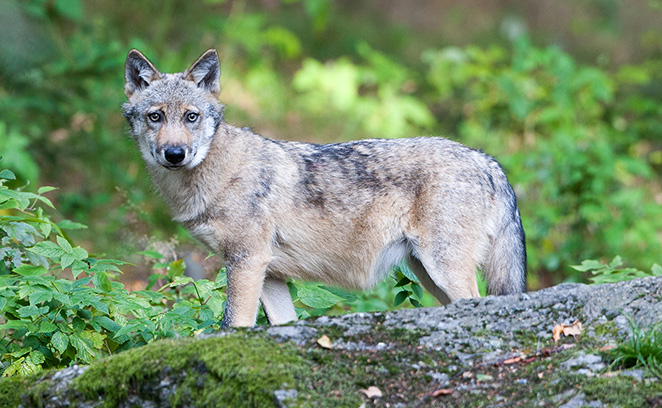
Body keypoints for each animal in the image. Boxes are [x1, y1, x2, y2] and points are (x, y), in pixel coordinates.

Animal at [122, 49, 527, 328]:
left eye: (191, 116)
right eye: (155, 116)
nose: (175, 154)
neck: (216, 175)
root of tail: (486, 160)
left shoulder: (247, 262)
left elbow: (233, 325)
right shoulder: (269, 274)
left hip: (444, 269)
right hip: (429, 275)